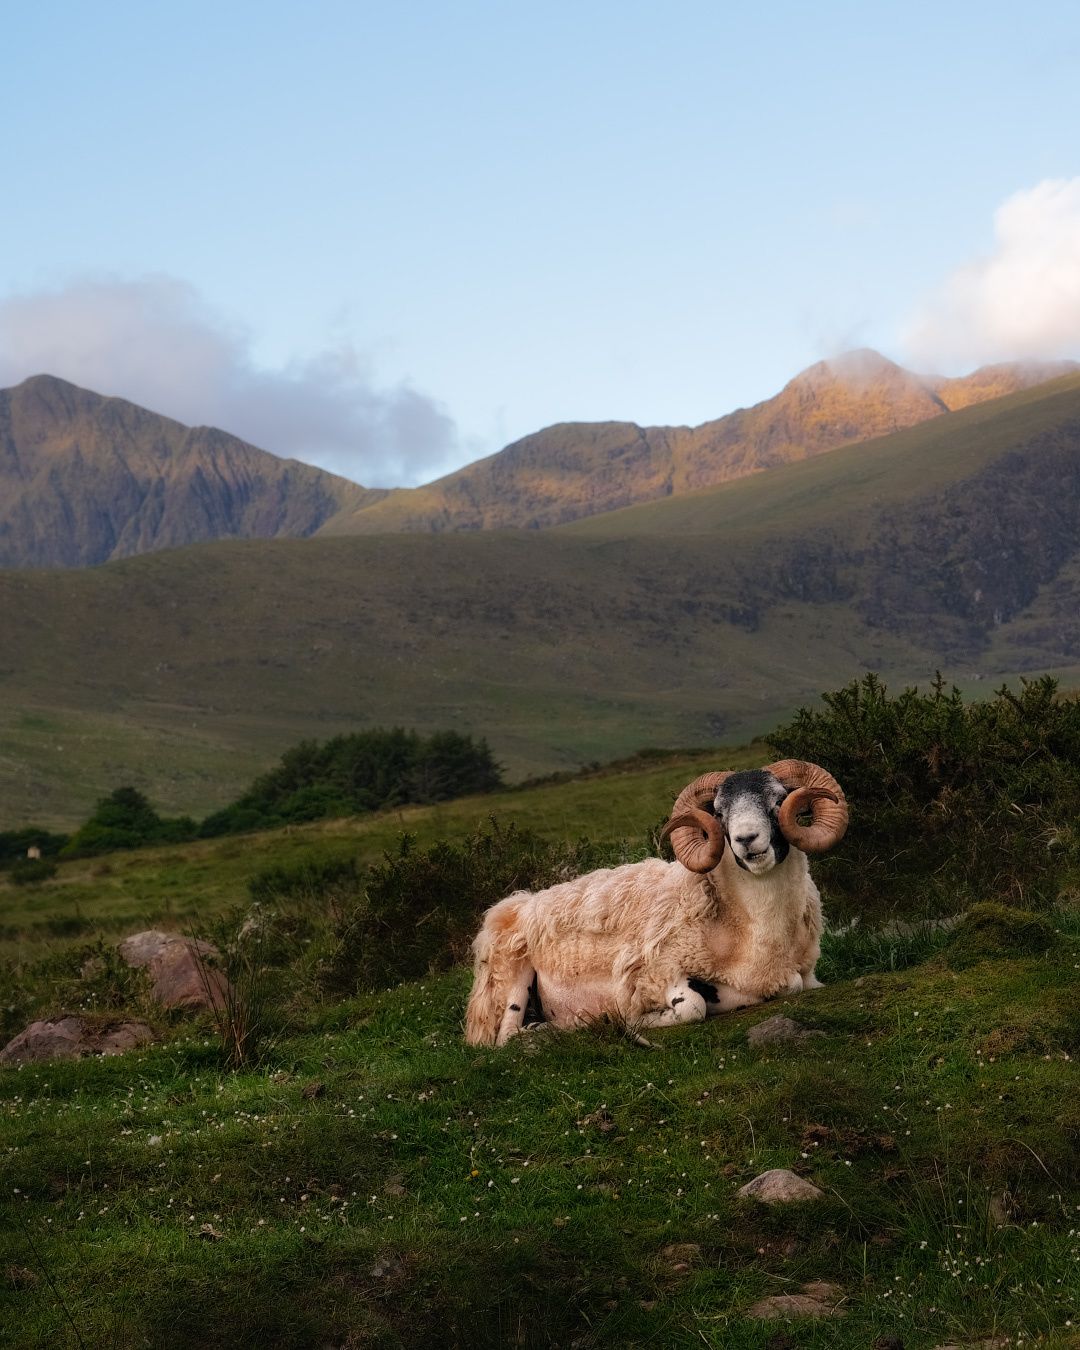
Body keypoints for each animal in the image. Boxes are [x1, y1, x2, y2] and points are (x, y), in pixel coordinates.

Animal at [464, 760, 847, 1046]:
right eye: (719, 812)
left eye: (779, 798)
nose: (746, 839)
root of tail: (514, 903)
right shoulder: (657, 971)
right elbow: (691, 1007)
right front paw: (637, 1021)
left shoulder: (796, 974)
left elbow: (794, 984)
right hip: (512, 975)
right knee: (507, 1037)